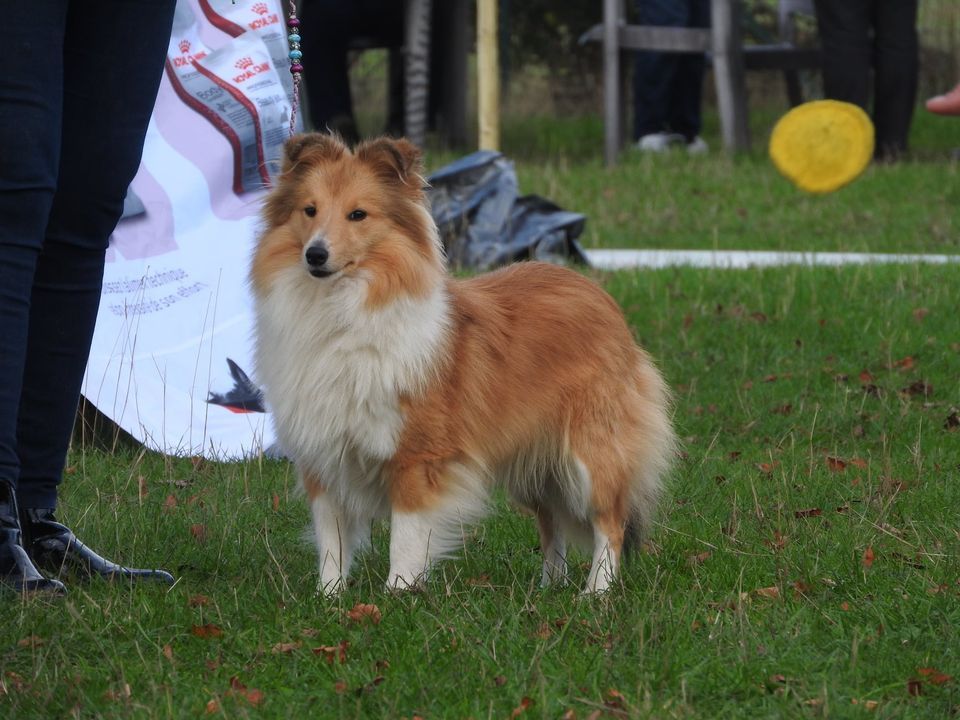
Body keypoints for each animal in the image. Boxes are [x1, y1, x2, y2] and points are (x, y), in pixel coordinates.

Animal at [253, 132, 676, 592]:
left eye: (358, 214)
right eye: (309, 210)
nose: (315, 255)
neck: (340, 313)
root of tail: (595, 292)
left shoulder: (416, 459)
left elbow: (405, 536)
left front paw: (398, 593)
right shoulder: (323, 458)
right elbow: (332, 539)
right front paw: (328, 596)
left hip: (589, 453)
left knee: (610, 521)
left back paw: (596, 592)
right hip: (534, 464)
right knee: (552, 524)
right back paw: (549, 586)